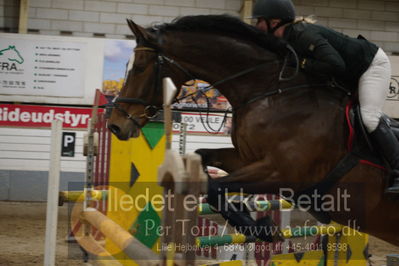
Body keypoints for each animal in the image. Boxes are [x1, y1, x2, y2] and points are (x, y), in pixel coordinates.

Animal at [108, 14, 399, 246]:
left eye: (139, 67)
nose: (115, 124)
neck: (272, 93)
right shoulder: (247, 158)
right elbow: (203, 159)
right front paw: (253, 221)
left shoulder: (282, 173)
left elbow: (214, 186)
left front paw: (261, 227)